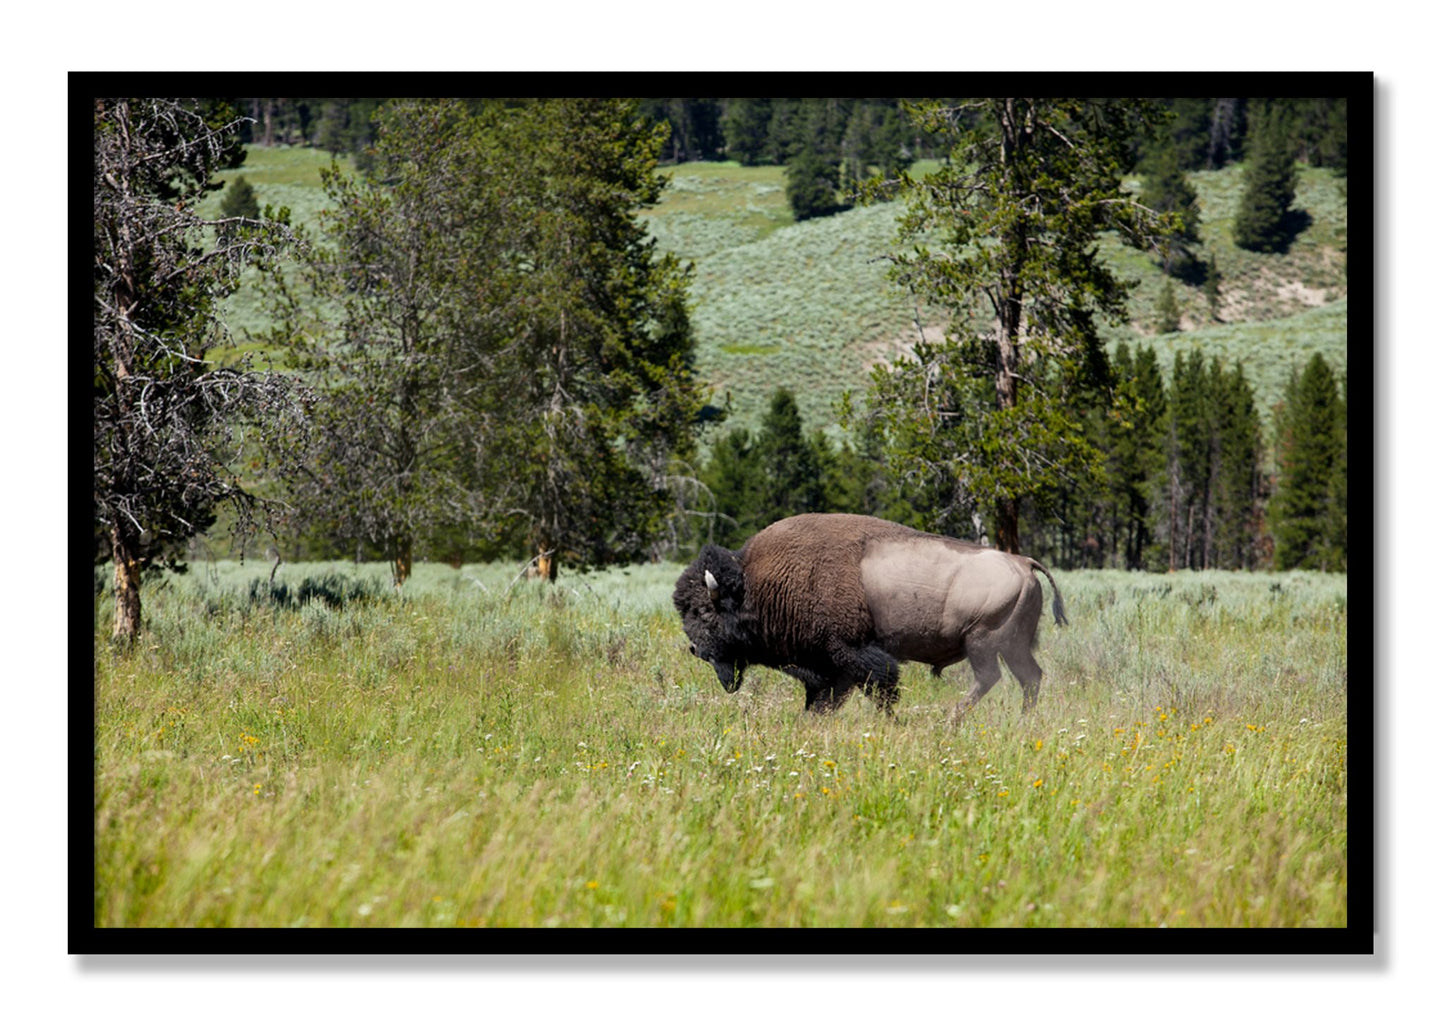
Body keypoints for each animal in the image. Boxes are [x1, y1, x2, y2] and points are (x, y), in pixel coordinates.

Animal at [673, 513, 1067, 718]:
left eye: (704, 611)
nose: (694, 649)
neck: (757, 584)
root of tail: (1023, 562)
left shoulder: (851, 654)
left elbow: (880, 688)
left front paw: (891, 721)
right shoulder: (828, 668)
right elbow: (824, 700)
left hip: (983, 642)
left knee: (990, 678)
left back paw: (950, 720)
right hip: (1013, 646)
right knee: (1030, 678)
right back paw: (1022, 720)